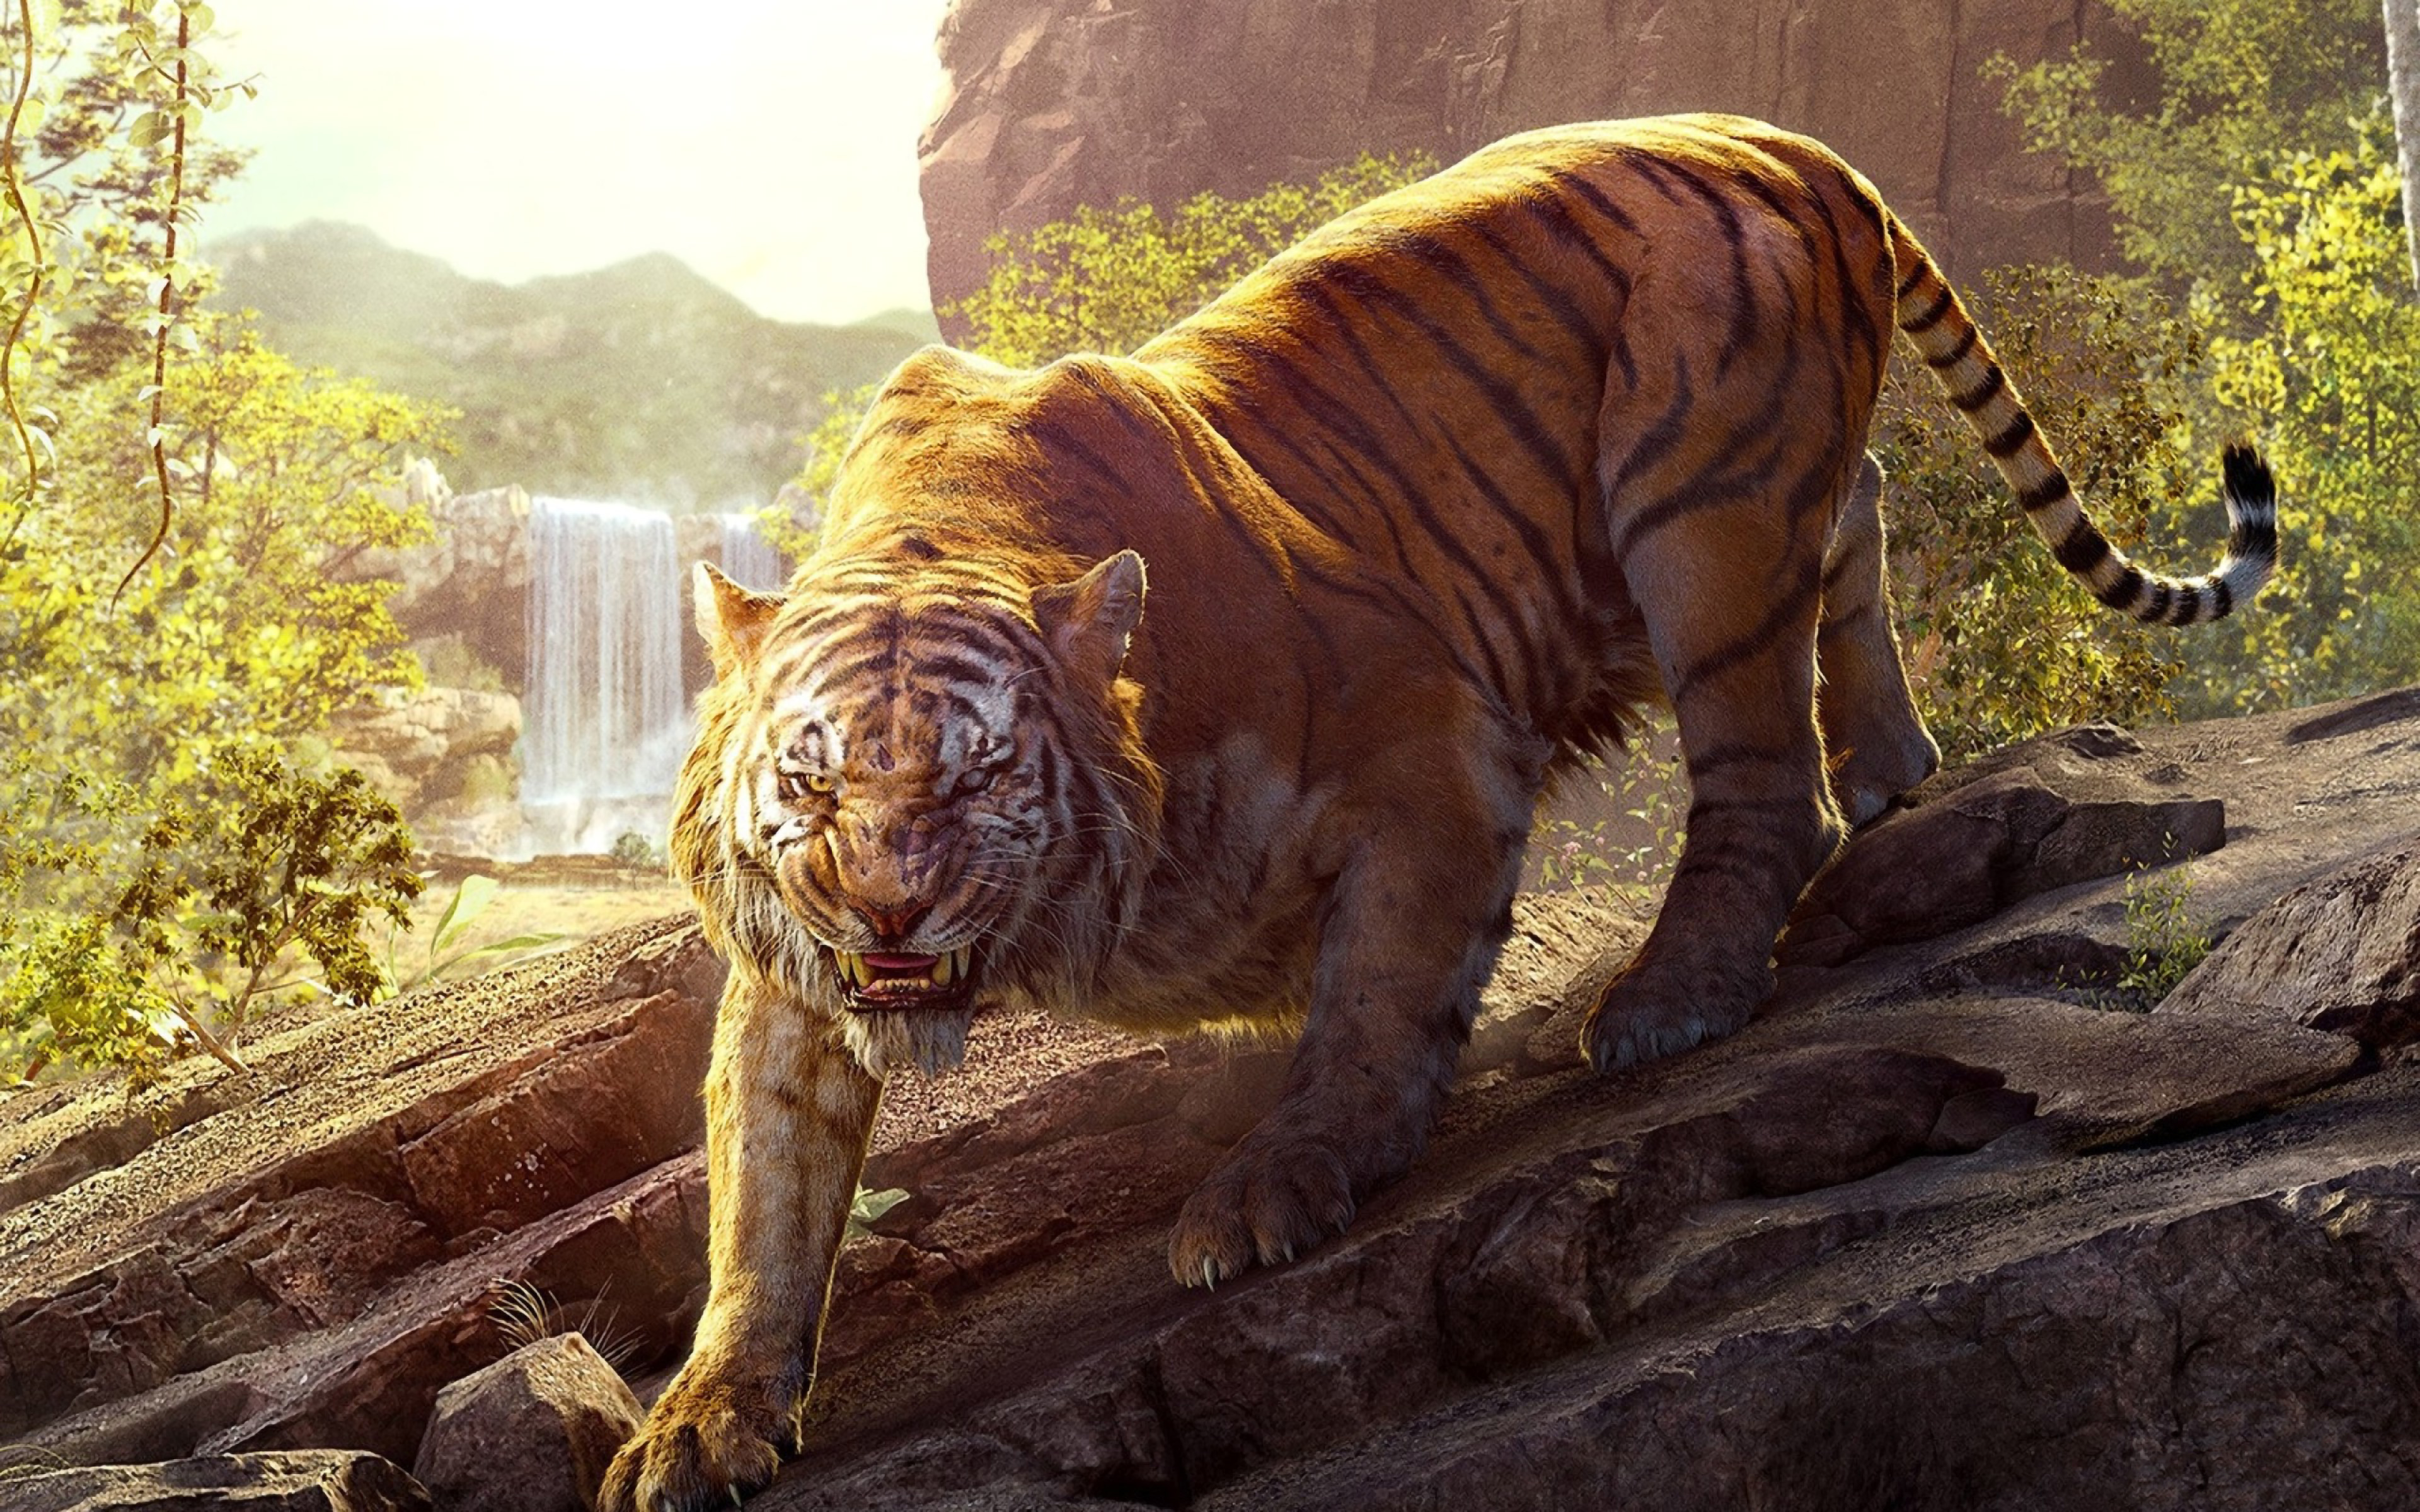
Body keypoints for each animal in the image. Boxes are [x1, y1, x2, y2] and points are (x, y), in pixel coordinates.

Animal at [599, 112, 2275, 1511]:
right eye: (807, 776)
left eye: (978, 768)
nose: (887, 910)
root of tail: (1771, 133)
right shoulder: (786, 970)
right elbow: (765, 1190)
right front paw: (698, 1420)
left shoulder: (1431, 740)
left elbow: (1376, 994)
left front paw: (1274, 1188)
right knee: (1856, 510)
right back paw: (1887, 763)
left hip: (1697, 500)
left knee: (1760, 778)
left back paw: (1668, 995)